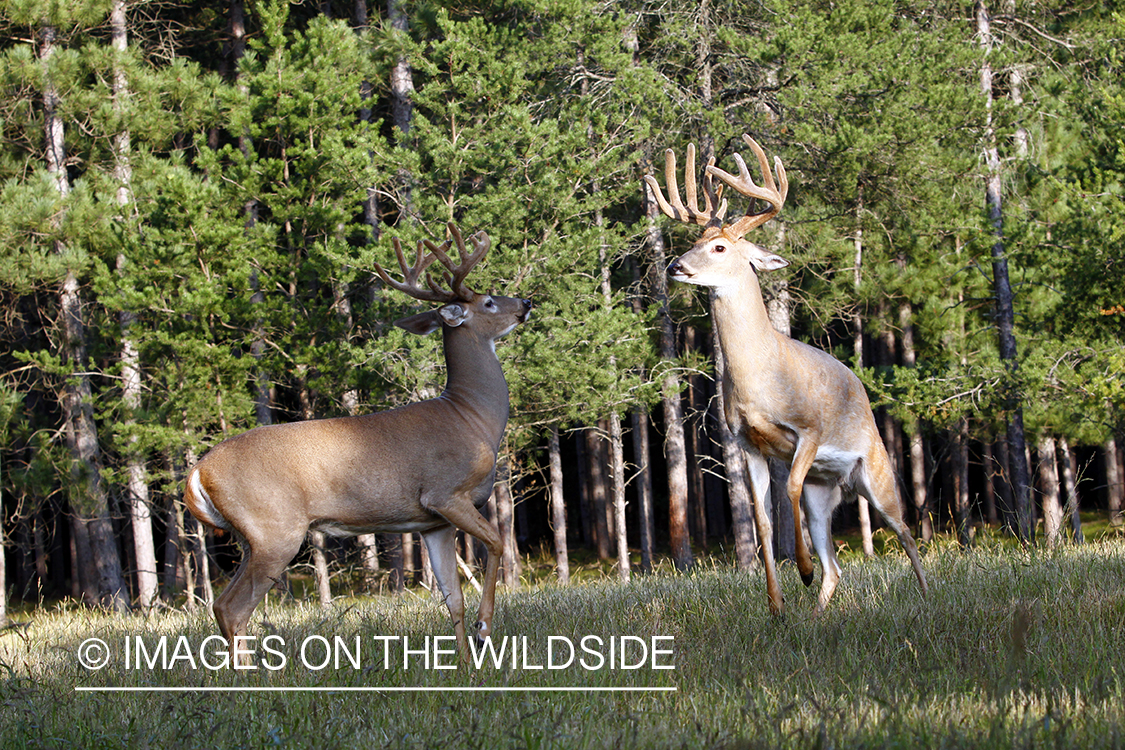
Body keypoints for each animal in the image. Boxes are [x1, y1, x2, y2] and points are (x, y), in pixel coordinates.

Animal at [184, 222, 531, 661]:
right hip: (275, 530)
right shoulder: (446, 493)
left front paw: (468, 665)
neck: (472, 417)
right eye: (488, 301)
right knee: (232, 608)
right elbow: (498, 544)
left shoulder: (432, 522)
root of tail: (199, 470)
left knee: (221, 605)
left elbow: (453, 599)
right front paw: (486, 628)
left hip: (249, 538)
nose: (526, 302)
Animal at [648, 134, 927, 616]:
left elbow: (790, 488)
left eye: (720, 248)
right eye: (695, 239)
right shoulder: (745, 441)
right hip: (825, 488)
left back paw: (927, 595)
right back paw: (816, 614)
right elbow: (761, 517)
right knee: (837, 565)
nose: (675, 266)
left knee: (906, 533)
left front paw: (802, 568)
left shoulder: (808, 429)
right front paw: (776, 606)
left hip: (877, 472)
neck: (762, 376)